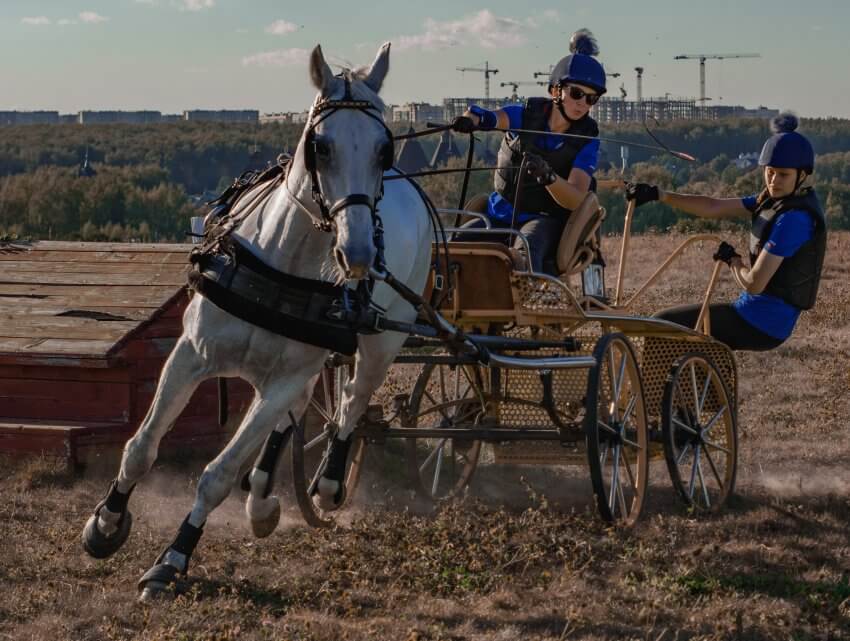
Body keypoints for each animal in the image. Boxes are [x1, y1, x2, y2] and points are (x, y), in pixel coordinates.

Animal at [79, 43, 430, 600]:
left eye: (383, 150)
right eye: (319, 145)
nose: (357, 254)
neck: (281, 264)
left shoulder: (283, 379)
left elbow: (218, 474)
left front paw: (172, 560)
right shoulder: (190, 356)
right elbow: (141, 447)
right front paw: (106, 522)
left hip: (381, 343)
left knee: (351, 404)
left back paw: (326, 484)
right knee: (302, 411)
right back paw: (263, 494)